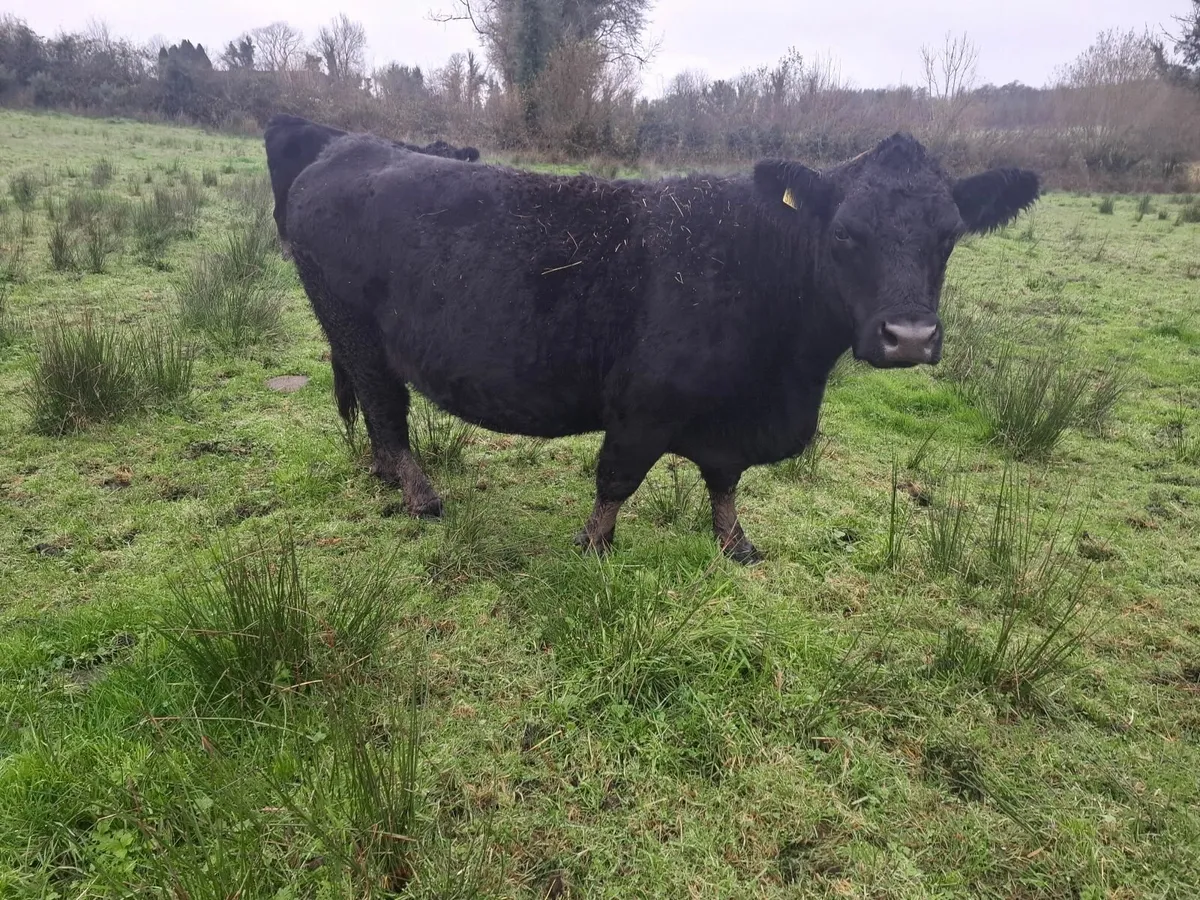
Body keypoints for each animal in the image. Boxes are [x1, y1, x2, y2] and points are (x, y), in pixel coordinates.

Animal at [280, 130, 1039, 563]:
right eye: (846, 234)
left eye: (950, 234)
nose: (908, 337)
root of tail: (341, 150)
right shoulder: (644, 404)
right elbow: (616, 479)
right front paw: (593, 545)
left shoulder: (731, 420)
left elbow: (725, 482)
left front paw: (735, 542)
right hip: (355, 329)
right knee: (386, 409)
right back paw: (419, 495)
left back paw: (387, 477)